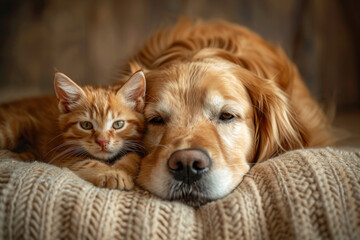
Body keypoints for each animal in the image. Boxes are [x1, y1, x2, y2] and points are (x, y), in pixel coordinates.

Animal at [0, 71, 146, 189]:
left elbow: (133, 157)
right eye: (86, 125)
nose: (102, 142)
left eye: (118, 124)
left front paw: (121, 170)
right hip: (13, 127)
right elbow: (87, 163)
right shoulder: (59, 152)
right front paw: (110, 173)